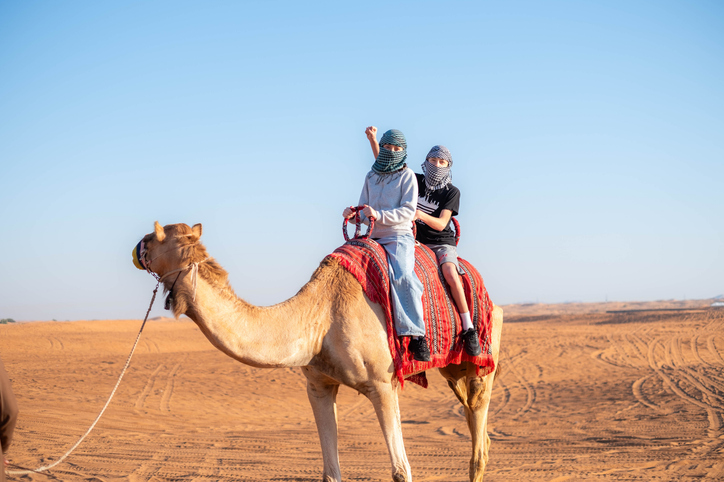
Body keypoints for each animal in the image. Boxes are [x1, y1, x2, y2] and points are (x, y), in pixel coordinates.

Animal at [134, 221, 503, 482]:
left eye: (155, 236)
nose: (137, 248)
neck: (321, 316)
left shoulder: (383, 384)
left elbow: (401, 471)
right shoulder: (319, 385)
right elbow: (330, 473)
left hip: (483, 355)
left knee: (479, 441)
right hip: (453, 368)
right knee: (478, 432)